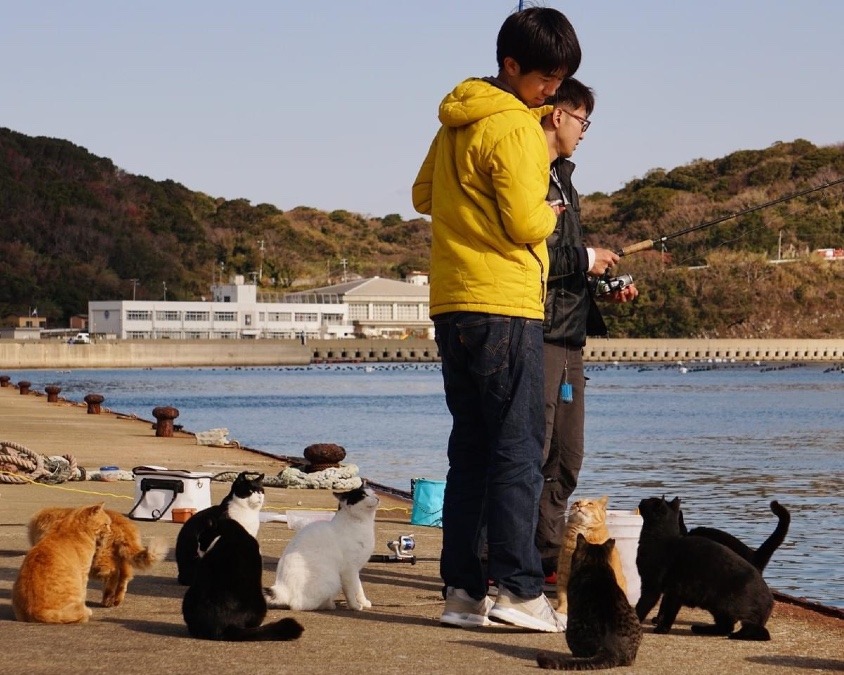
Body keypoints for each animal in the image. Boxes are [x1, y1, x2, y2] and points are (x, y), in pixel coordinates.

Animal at [28, 508, 170, 608]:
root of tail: (123, 525)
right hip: (123, 560)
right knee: (123, 579)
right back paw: (115, 600)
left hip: (99, 561)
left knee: (113, 574)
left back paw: (107, 599)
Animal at [640, 494, 772, 640]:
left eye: (648, 500)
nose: (642, 500)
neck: (663, 538)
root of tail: (769, 601)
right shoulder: (671, 592)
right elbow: (666, 610)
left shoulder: (655, 588)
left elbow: (650, 608)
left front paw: (659, 628)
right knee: (726, 627)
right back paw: (700, 629)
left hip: (725, 606)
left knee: (756, 631)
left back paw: (736, 635)